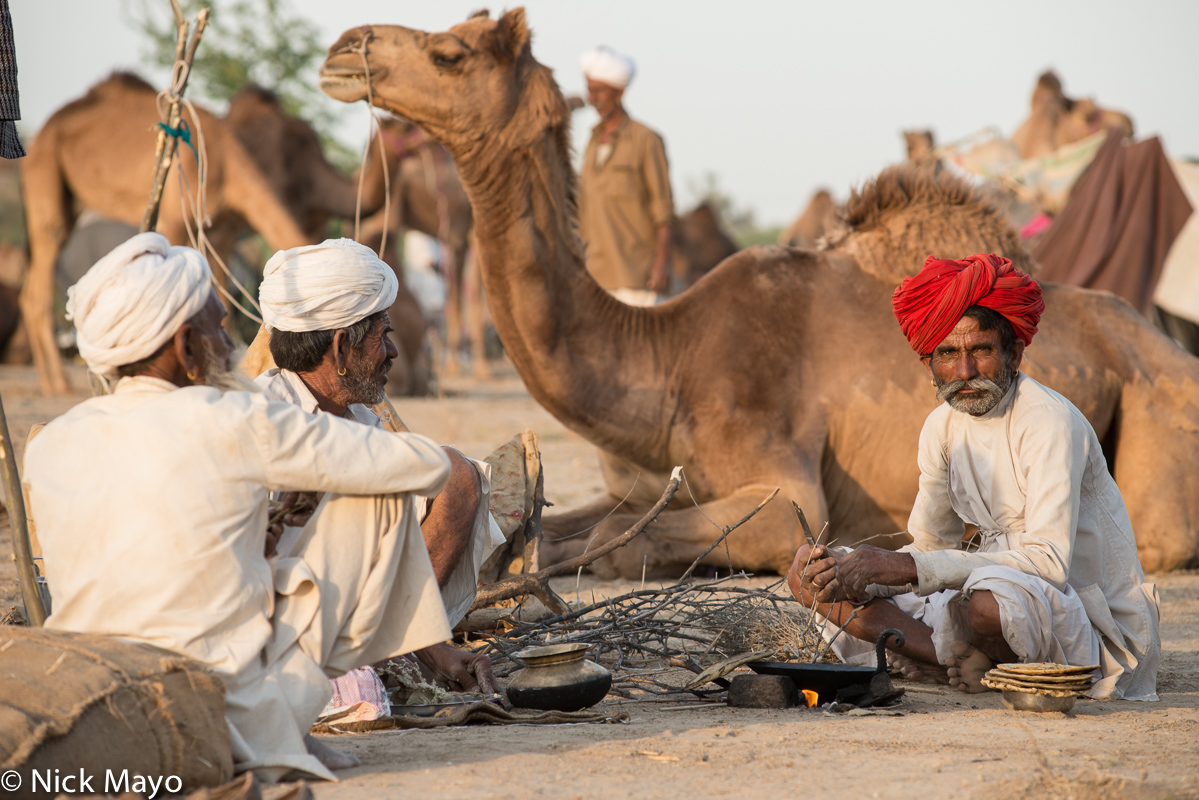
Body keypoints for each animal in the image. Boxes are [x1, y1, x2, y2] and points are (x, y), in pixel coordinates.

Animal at [21, 74, 309, 393]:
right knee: (41, 278)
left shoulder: (220, 231)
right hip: (45, 178)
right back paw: (58, 383)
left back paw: (51, 379)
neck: (224, 163)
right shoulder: (174, 216)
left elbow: (222, 296)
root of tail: (38, 136)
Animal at [318, 10, 1199, 582]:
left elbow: (621, 536)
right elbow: (565, 523)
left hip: (1157, 416)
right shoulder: (638, 481)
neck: (665, 360)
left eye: (450, 53)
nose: (342, 47)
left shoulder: (786, 494)